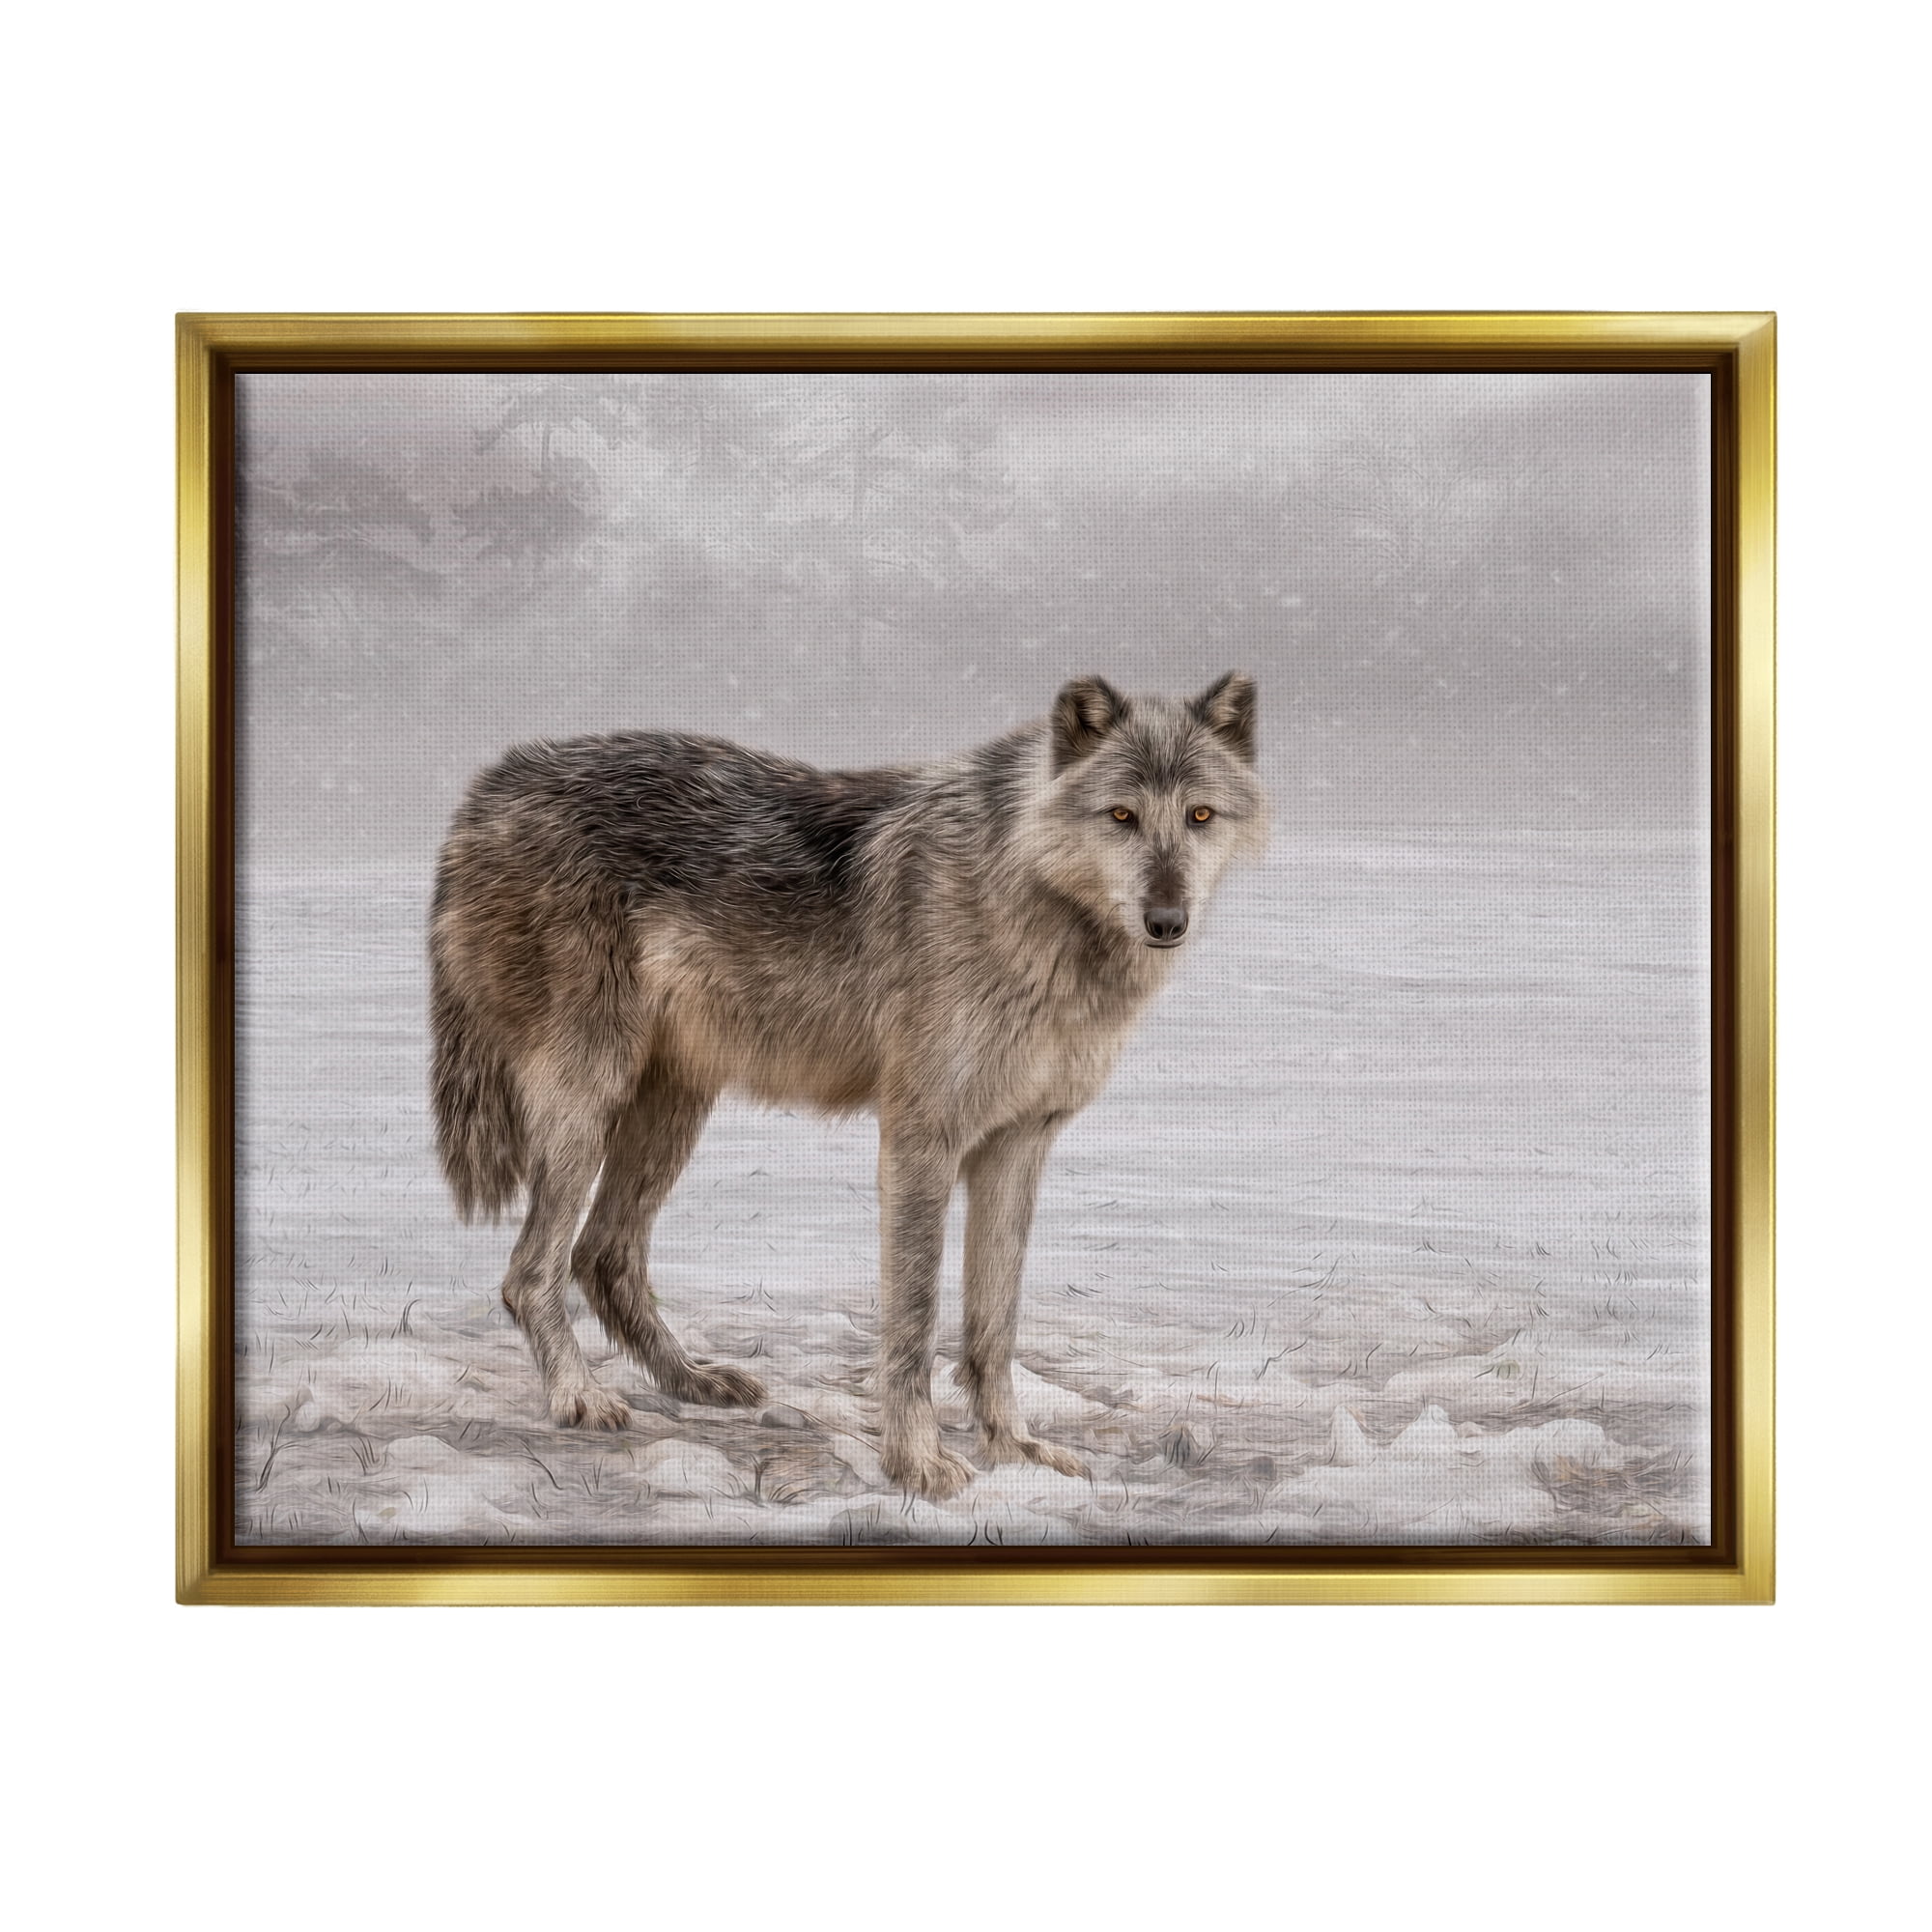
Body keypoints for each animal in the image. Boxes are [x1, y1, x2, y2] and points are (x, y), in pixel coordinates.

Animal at [430, 672, 1266, 1500]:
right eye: (1122, 816)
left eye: (1199, 816)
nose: (1167, 919)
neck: (1032, 904)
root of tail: (489, 785)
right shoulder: (922, 1139)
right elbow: (914, 1321)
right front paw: (920, 1464)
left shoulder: (1018, 1144)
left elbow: (994, 1326)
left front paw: (1016, 1451)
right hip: (589, 1102)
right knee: (531, 1272)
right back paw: (580, 1397)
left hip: (673, 1107)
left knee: (602, 1256)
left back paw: (693, 1381)